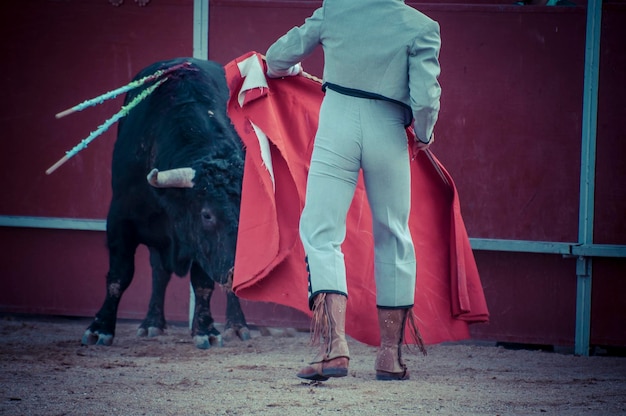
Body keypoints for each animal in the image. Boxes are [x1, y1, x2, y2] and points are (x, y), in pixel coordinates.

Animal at [81, 56, 250, 348]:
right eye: (207, 214)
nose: (236, 272)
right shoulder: (119, 219)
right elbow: (119, 276)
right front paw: (100, 328)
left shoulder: (198, 243)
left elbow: (202, 282)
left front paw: (205, 330)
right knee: (159, 271)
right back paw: (152, 323)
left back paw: (237, 326)